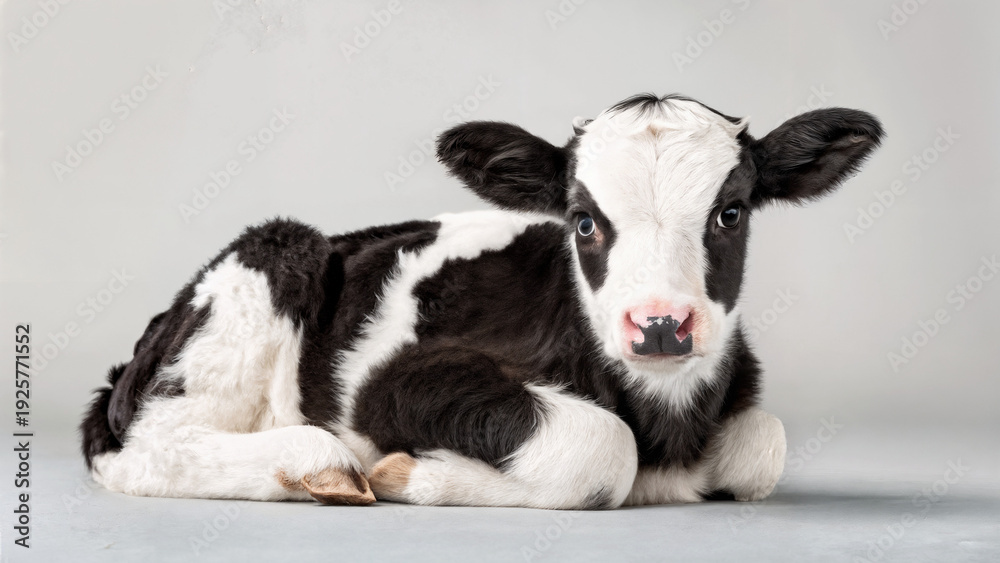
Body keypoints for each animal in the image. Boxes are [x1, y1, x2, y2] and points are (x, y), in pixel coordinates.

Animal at [80, 94, 883, 509]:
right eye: (583, 220)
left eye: (731, 213)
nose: (660, 324)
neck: (669, 427)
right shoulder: (394, 380)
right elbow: (601, 446)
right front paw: (412, 473)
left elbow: (762, 442)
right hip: (267, 265)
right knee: (143, 444)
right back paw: (318, 463)